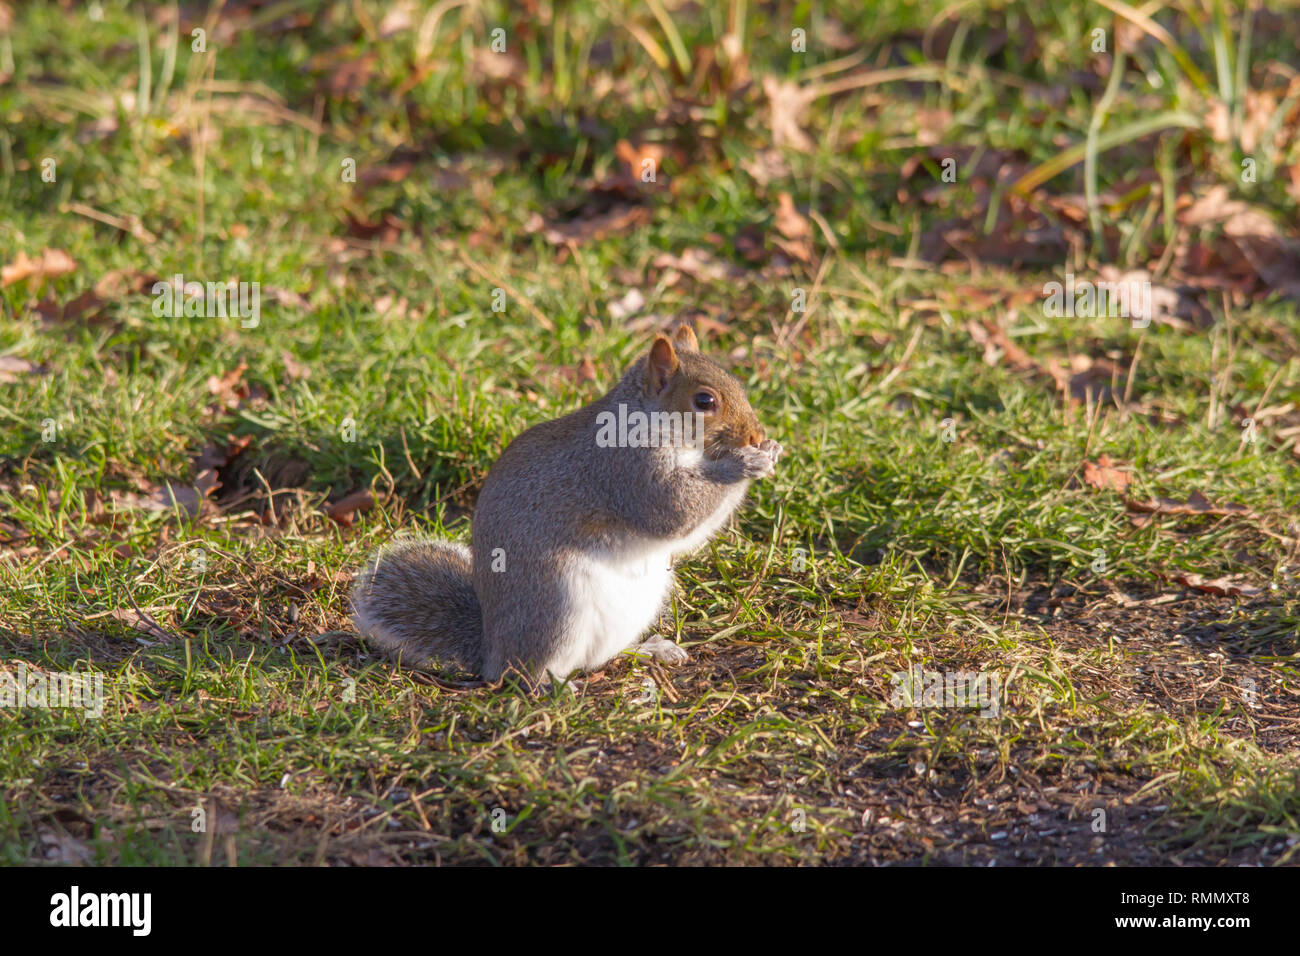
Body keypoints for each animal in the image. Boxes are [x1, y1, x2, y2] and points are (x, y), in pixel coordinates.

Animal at [345, 325, 785, 686]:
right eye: (704, 400)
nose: (755, 433)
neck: (648, 420)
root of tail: (490, 651)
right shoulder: (626, 470)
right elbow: (673, 513)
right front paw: (745, 463)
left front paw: (769, 449)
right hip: (555, 603)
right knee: (523, 673)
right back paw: (551, 685)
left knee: (595, 659)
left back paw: (649, 649)